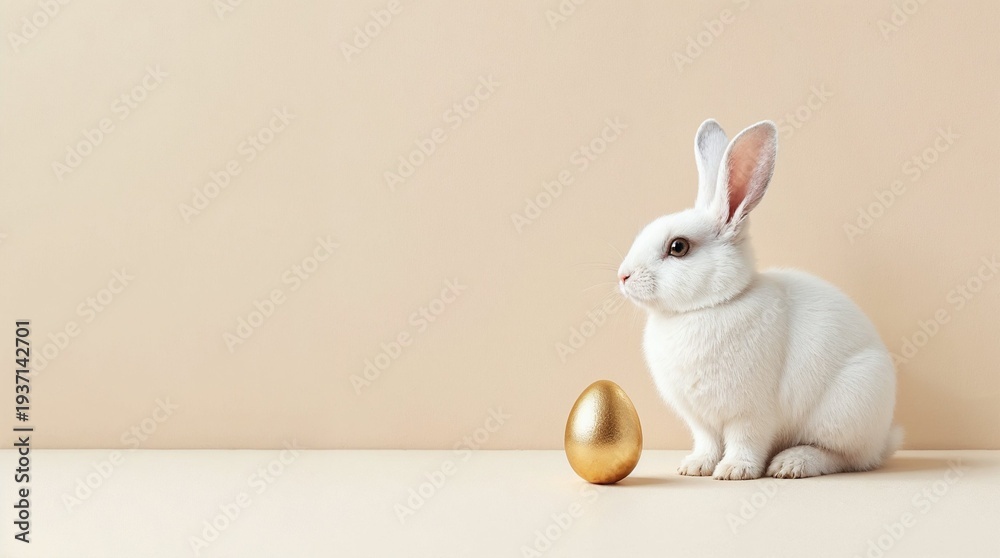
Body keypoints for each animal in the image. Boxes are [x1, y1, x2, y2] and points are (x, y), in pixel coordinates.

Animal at [617, 119, 901, 479]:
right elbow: (707, 442)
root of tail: (884, 438)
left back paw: (790, 464)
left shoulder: (751, 413)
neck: (709, 306)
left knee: (845, 457)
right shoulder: (701, 419)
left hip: (846, 409)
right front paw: (695, 467)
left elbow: (745, 441)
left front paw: (734, 471)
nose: (623, 276)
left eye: (678, 247)